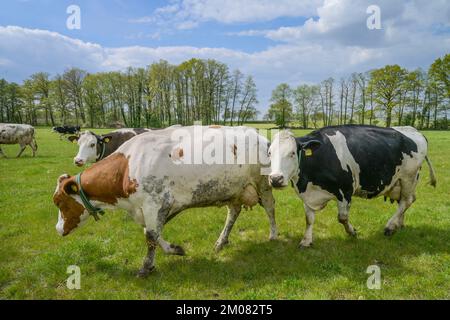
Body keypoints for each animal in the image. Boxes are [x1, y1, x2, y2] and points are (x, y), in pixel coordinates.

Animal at [54, 126, 276, 276]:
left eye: (59, 202)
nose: (58, 229)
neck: (127, 167)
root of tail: (258, 135)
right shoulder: (151, 208)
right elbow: (151, 232)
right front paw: (169, 252)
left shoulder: (155, 203)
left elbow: (151, 235)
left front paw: (147, 266)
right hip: (233, 188)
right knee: (233, 212)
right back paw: (221, 241)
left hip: (263, 183)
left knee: (270, 207)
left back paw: (273, 235)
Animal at [268, 125, 436, 248]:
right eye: (269, 153)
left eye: (292, 153)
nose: (275, 179)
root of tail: (414, 130)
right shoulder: (308, 194)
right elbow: (309, 219)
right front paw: (306, 241)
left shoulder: (345, 190)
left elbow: (342, 217)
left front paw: (352, 232)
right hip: (402, 182)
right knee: (405, 201)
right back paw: (398, 225)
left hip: (409, 177)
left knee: (406, 201)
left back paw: (389, 226)